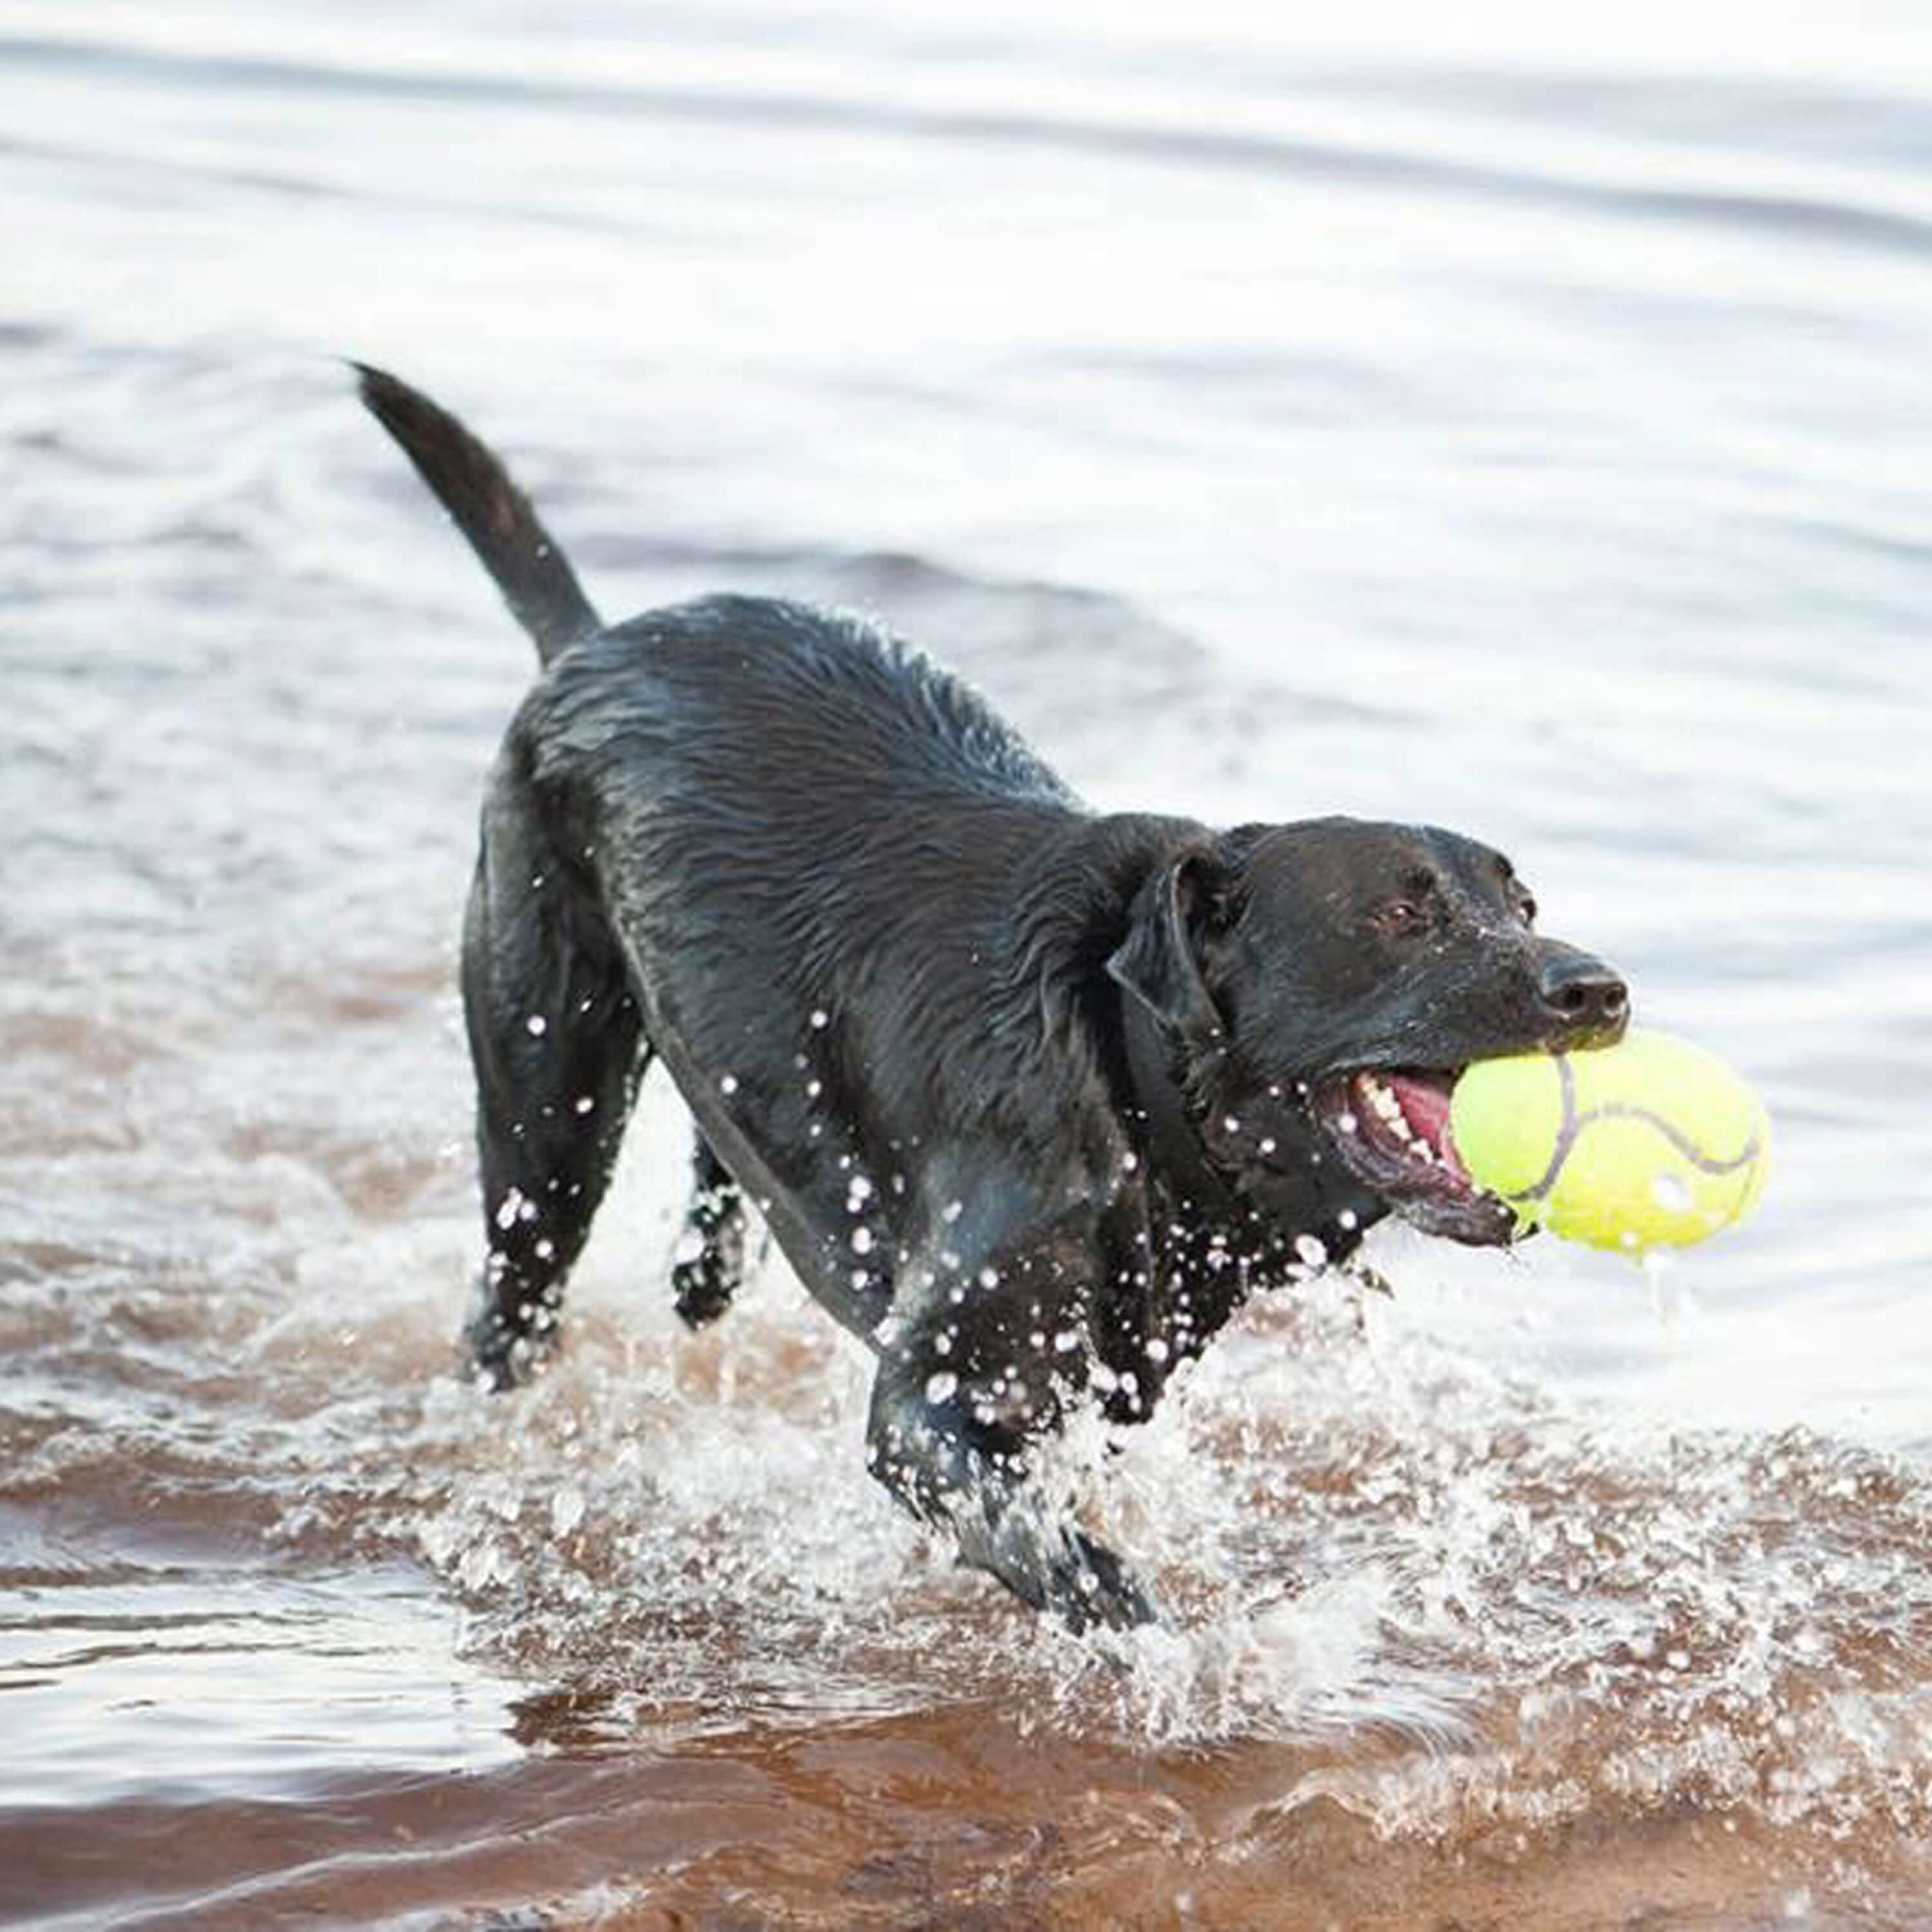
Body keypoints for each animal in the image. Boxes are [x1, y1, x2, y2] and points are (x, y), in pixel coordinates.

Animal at [359, 365, 1631, 1631]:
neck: (1130, 1083)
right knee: (513, 1289)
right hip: (547, 1101)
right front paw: (1176, 1651)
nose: (1601, 989)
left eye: (1519, 902)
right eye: (1400, 914)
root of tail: (588, 643)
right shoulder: (929, 1404)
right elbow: (1074, 1564)